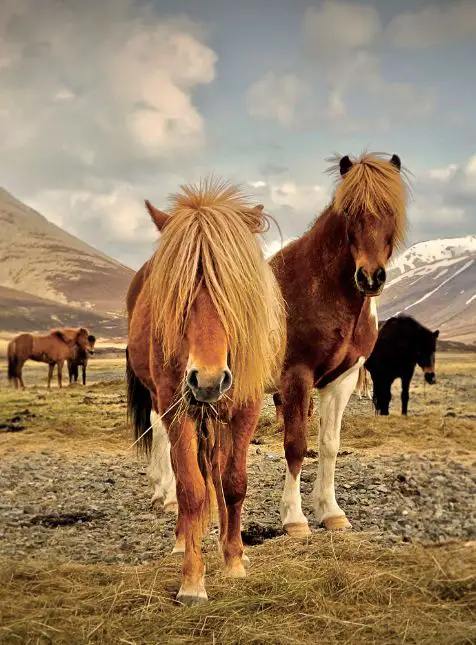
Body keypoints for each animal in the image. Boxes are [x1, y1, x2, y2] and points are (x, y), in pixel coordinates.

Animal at [126, 179, 285, 604]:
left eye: (234, 290)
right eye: (178, 295)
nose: (209, 380)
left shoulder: (245, 407)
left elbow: (233, 484)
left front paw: (234, 560)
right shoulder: (177, 409)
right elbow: (192, 490)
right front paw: (193, 581)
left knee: (217, 469)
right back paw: (185, 538)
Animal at [269, 152, 409, 536]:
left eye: (392, 210)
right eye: (349, 212)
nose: (370, 278)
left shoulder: (341, 380)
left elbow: (329, 444)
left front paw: (330, 511)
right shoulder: (296, 377)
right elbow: (296, 445)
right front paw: (294, 518)